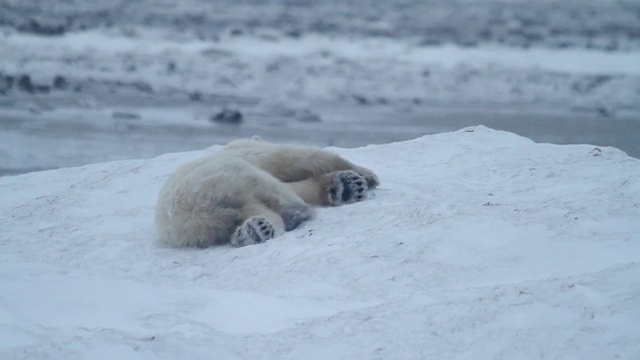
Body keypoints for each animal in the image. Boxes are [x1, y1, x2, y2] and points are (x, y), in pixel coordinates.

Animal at [154, 137, 380, 248]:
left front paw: (348, 185)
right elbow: (304, 160)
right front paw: (363, 177)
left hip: (208, 223)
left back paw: (253, 231)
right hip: (232, 176)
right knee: (282, 193)